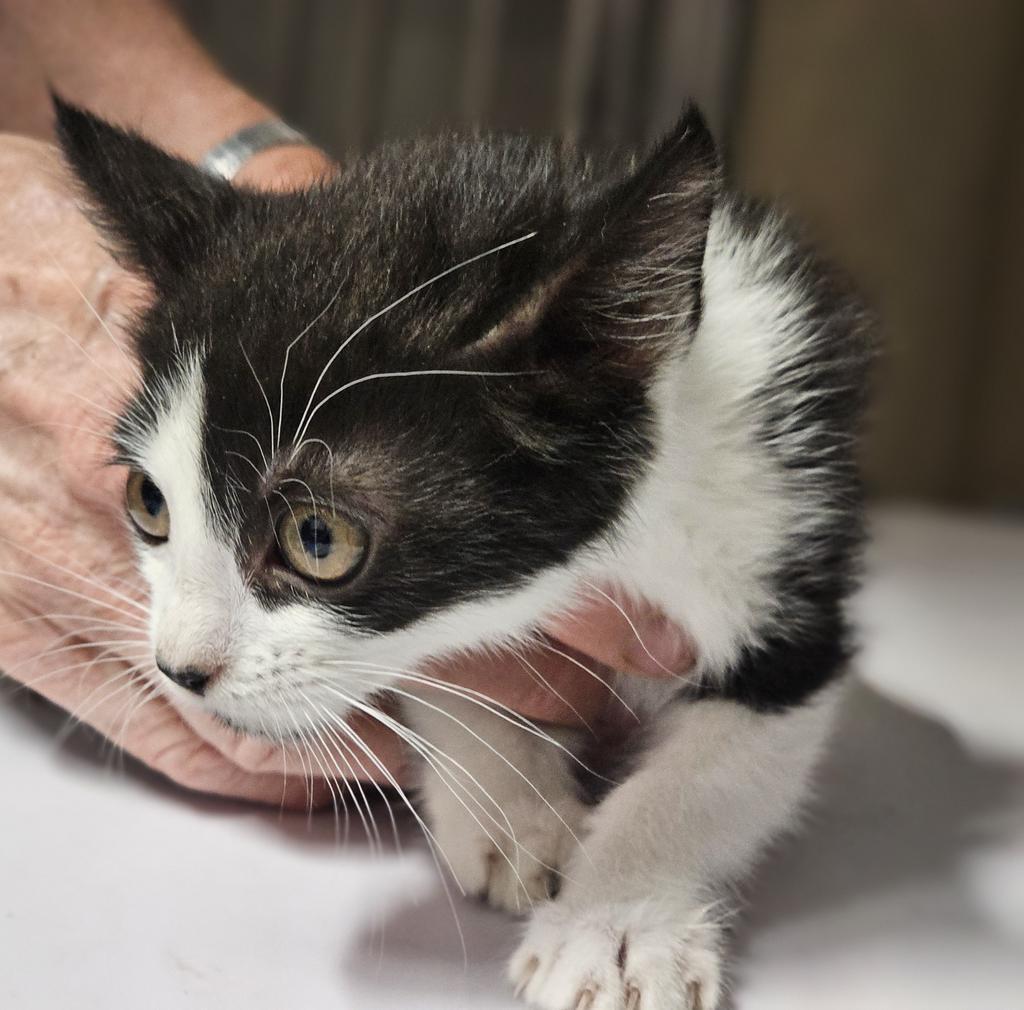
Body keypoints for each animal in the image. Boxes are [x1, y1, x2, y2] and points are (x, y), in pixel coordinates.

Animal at [56, 96, 872, 1007]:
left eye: (318, 540)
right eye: (149, 502)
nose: (179, 671)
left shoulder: (779, 531)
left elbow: (713, 769)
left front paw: (617, 923)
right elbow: (454, 676)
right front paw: (515, 812)